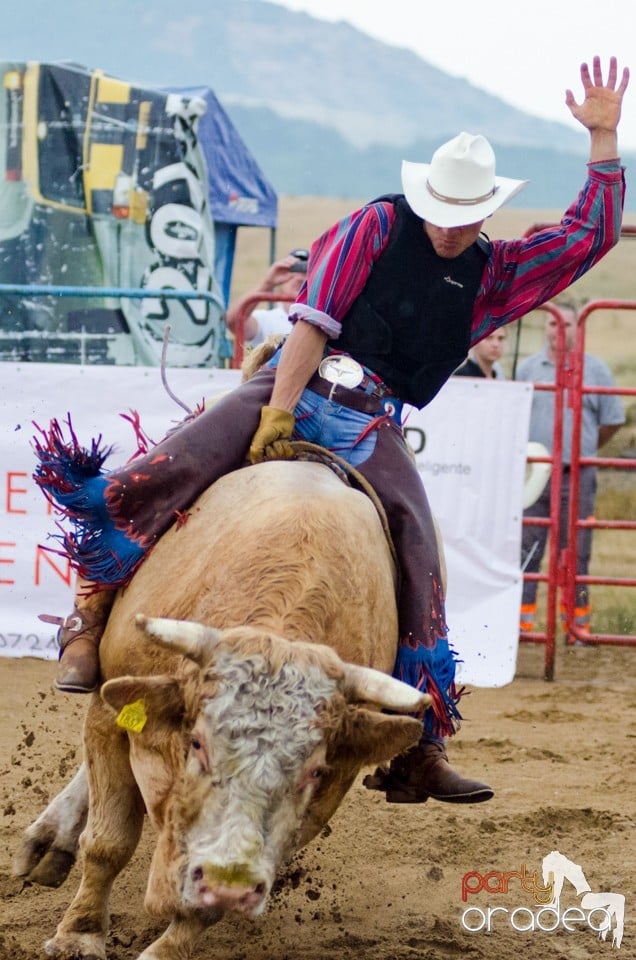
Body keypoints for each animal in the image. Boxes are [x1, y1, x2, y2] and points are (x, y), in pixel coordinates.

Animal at [14, 462, 430, 956]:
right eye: (197, 743)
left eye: (315, 771)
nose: (228, 883)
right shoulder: (108, 713)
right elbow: (107, 841)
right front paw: (79, 935)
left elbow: (204, 908)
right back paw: (49, 840)